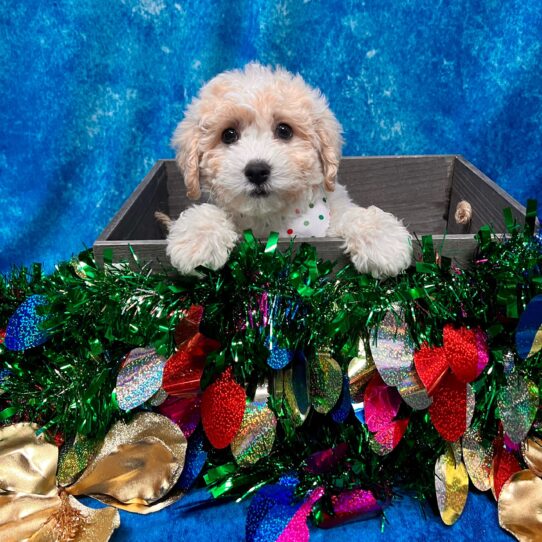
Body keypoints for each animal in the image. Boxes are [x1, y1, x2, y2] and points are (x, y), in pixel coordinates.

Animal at [166, 62, 412, 278]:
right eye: (228, 135)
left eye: (284, 130)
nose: (257, 171)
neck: (273, 219)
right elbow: (205, 212)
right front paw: (197, 242)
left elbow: (352, 215)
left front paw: (382, 242)